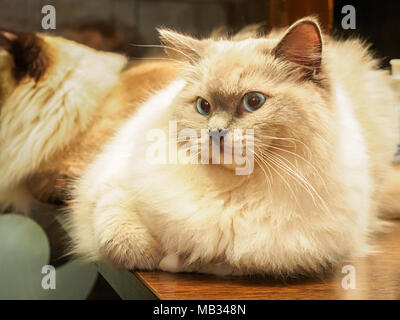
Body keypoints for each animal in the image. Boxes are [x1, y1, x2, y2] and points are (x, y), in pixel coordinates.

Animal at [67, 17, 398, 276]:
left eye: (253, 102)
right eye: (203, 106)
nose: (216, 132)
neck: (232, 191)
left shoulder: (284, 254)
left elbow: (220, 261)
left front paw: (179, 260)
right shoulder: (111, 188)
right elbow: (122, 241)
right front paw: (158, 255)